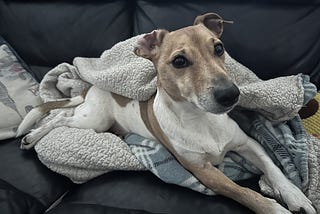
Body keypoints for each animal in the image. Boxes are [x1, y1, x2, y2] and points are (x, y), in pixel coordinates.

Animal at [16, 13, 314, 214]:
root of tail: (91, 87)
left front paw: (296, 197)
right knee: (60, 118)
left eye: (218, 48)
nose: (231, 95)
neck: (201, 120)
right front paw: (275, 208)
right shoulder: (203, 171)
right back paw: (32, 136)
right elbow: (242, 192)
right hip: (94, 120)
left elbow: (273, 168)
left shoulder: (248, 144)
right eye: (179, 61)